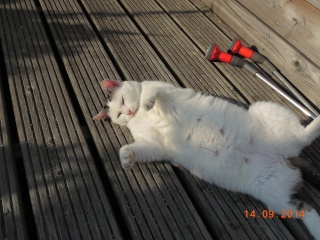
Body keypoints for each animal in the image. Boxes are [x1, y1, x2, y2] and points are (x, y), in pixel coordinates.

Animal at [94, 79, 320, 239]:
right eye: (119, 114)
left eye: (123, 101)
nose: (129, 111)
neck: (140, 116)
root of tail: (285, 156)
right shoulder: (154, 146)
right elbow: (134, 149)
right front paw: (126, 158)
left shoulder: (165, 89)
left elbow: (151, 93)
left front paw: (147, 102)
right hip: (278, 200)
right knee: (308, 210)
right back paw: (317, 231)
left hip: (265, 109)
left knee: (305, 136)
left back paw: (317, 121)